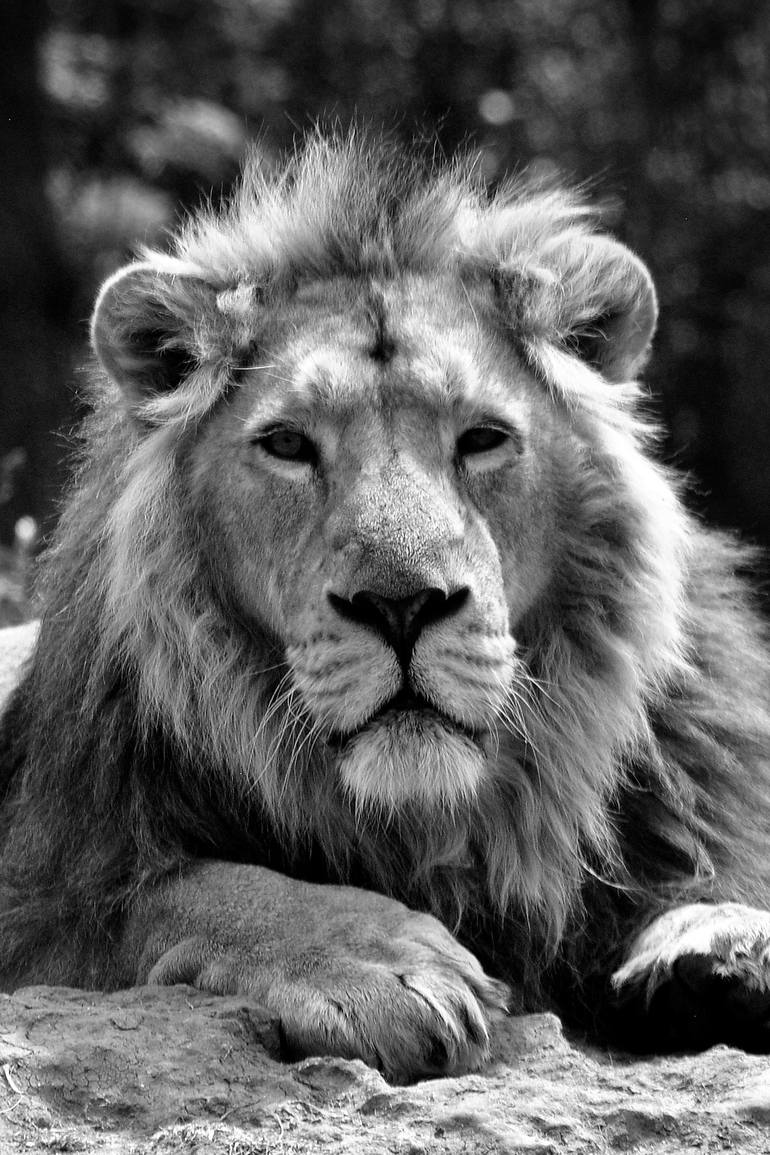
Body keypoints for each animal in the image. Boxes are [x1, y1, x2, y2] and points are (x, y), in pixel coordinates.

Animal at [1, 132, 770, 1081]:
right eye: (288, 444)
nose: (402, 606)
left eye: (482, 439)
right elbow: (187, 887)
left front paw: (722, 938)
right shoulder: (48, 884)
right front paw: (379, 962)